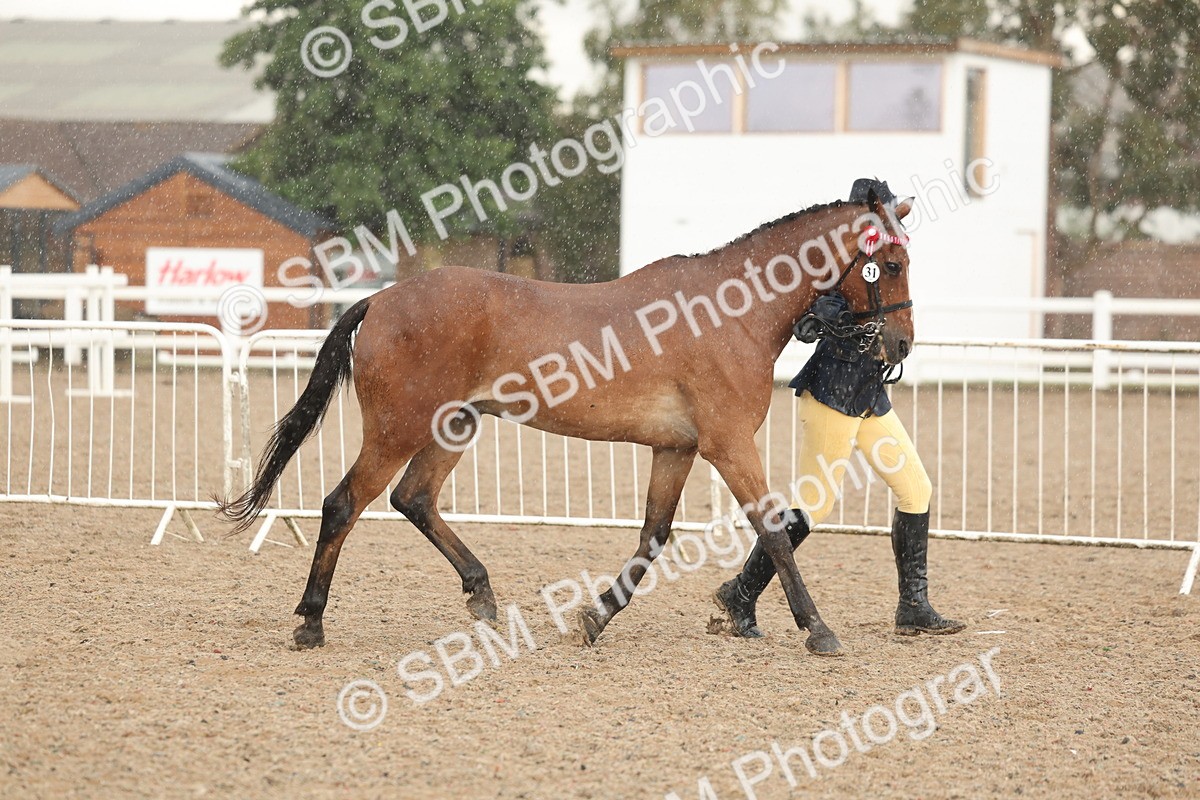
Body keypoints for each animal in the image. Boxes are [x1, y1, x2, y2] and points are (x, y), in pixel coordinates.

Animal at [219, 188, 916, 656]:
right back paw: (311, 620)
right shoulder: (728, 445)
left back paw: (482, 594)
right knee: (344, 504)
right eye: (893, 265)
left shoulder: (678, 449)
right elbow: (772, 529)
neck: (730, 313)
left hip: (454, 426)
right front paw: (818, 629)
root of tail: (380, 298)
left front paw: (595, 617)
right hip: (398, 430)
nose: (901, 346)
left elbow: (652, 539)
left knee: (413, 498)